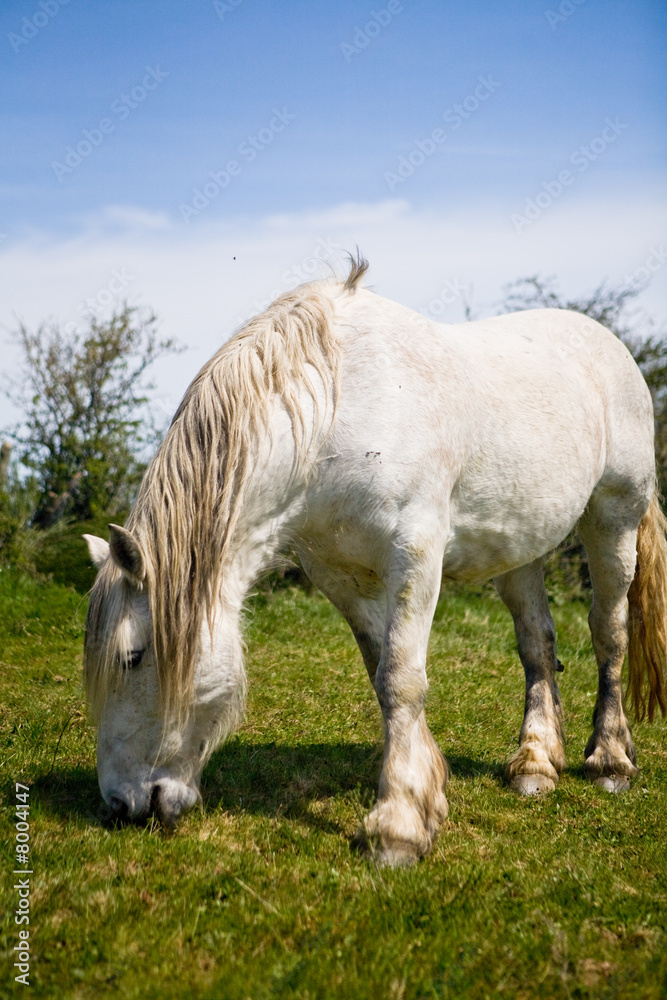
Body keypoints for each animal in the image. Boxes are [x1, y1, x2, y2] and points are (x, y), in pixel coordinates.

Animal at [83, 255, 667, 866]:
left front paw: (398, 826)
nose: (122, 804)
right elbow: (379, 671)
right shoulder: (341, 577)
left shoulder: (415, 558)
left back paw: (610, 760)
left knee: (609, 633)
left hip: (614, 520)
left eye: (131, 657)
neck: (338, 412)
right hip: (519, 549)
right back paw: (536, 763)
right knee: (537, 645)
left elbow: (401, 680)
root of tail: (609, 344)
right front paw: (425, 791)